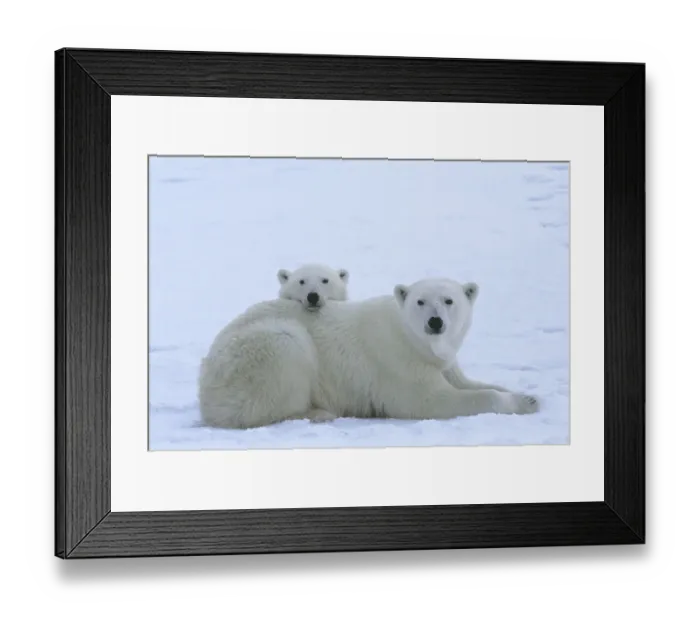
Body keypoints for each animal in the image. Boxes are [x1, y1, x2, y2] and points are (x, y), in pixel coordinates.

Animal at [197, 277, 540, 429]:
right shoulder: (399, 362)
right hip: (261, 352)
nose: (435, 322)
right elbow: (432, 400)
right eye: (420, 301)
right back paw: (319, 413)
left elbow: (466, 382)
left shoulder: (443, 362)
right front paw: (521, 403)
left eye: (449, 300)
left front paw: (529, 396)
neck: (413, 339)